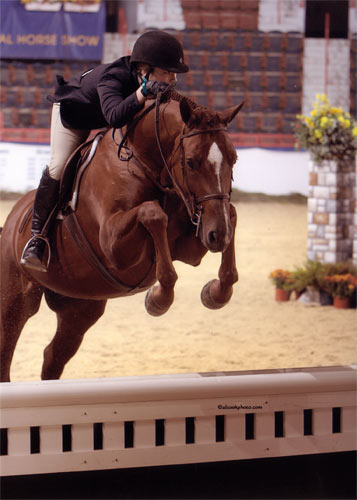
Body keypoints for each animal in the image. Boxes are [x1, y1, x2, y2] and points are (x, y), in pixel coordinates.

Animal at [0, 92, 242, 380]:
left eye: (234, 159)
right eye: (191, 162)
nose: (218, 235)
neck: (145, 162)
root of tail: (10, 222)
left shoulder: (189, 248)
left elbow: (231, 213)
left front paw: (216, 293)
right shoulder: (113, 246)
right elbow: (153, 213)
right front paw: (158, 299)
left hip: (79, 308)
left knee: (53, 356)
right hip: (15, 301)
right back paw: (34, 251)